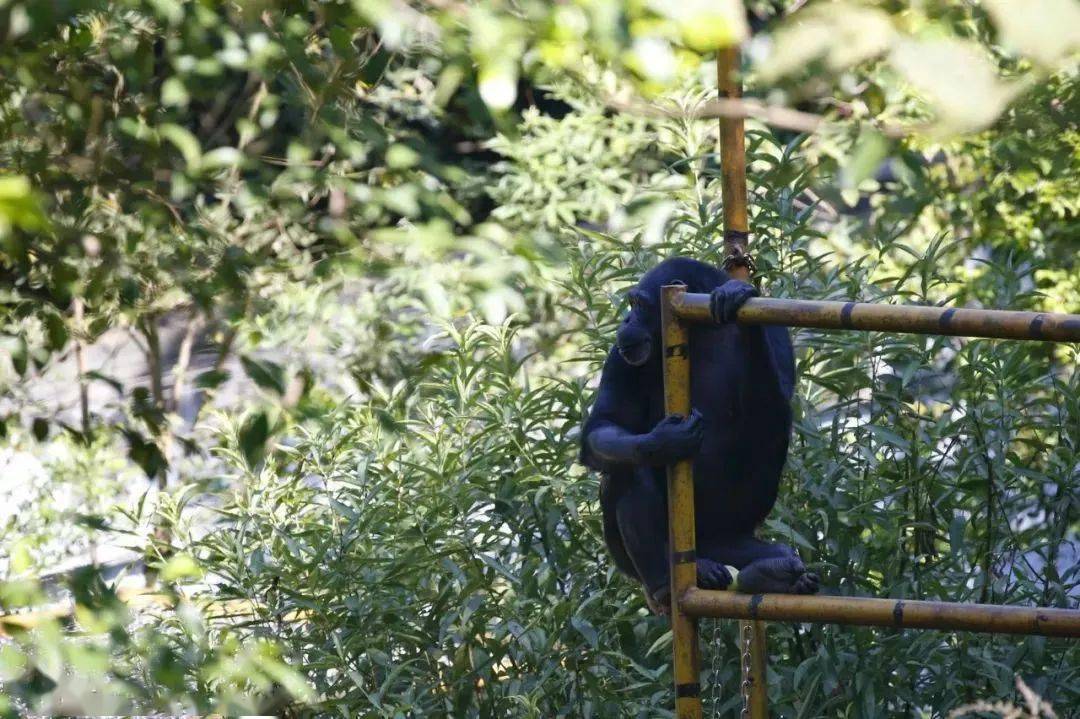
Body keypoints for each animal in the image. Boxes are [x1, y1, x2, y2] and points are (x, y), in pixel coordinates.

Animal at [583, 255, 816, 608]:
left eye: (639, 305)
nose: (626, 319)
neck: (698, 332)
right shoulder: (619, 357)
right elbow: (604, 423)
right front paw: (662, 442)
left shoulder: (776, 330)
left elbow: (776, 404)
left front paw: (736, 295)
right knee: (627, 469)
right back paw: (668, 580)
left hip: (722, 539)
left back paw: (775, 572)